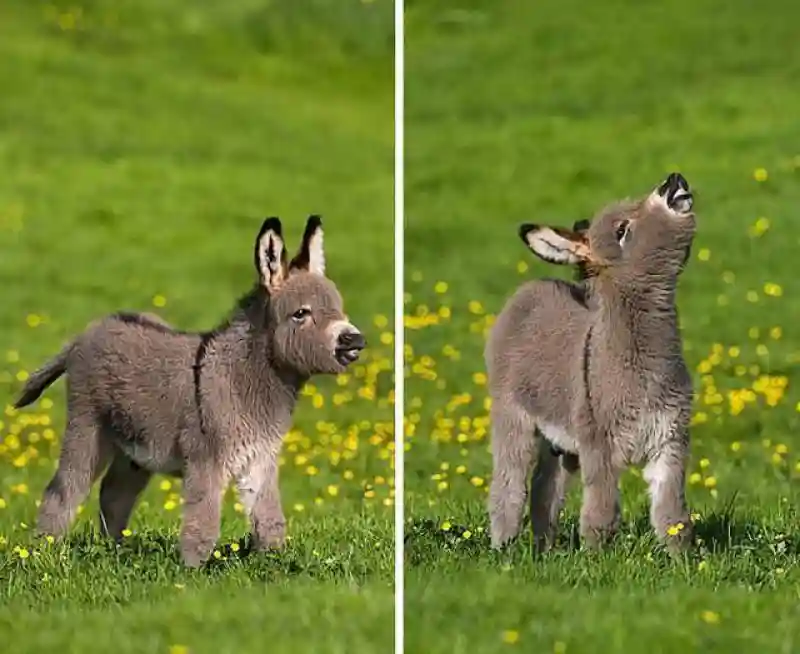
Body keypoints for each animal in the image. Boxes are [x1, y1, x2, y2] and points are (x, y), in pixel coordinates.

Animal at [14, 215, 366, 568]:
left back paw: (115, 550)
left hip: (136, 448)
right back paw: (43, 553)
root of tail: (85, 333)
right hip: (87, 427)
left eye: (339, 309)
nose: (355, 340)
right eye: (301, 313)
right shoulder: (205, 459)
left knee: (114, 493)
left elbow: (269, 520)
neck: (244, 378)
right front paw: (192, 572)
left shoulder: (260, 458)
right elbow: (203, 523)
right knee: (64, 490)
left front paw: (274, 564)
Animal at [484, 173, 696, 552]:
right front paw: (597, 559)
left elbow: (673, 518)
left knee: (545, 488)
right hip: (512, 416)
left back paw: (543, 549)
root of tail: (530, 288)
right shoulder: (600, 447)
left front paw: (683, 561)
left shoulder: (670, 442)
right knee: (509, 485)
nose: (673, 180)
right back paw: (503, 548)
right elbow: (601, 514)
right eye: (622, 230)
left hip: (561, 442)